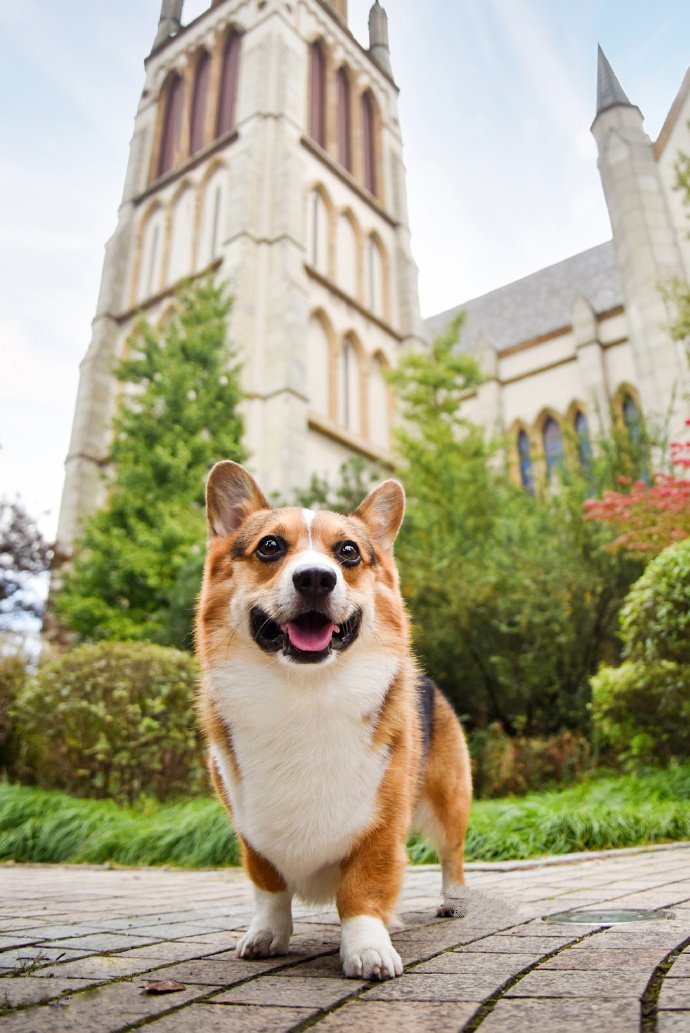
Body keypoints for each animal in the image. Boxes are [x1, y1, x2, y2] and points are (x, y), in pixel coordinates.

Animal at [196, 464, 471, 979]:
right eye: (269, 546)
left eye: (348, 552)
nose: (315, 580)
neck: (305, 692)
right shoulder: (250, 827)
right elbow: (270, 887)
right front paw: (267, 935)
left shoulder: (381, 822)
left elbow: (362, 890)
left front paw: (368, 949)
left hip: (449, 802)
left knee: (452, 855)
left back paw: (453, 901)